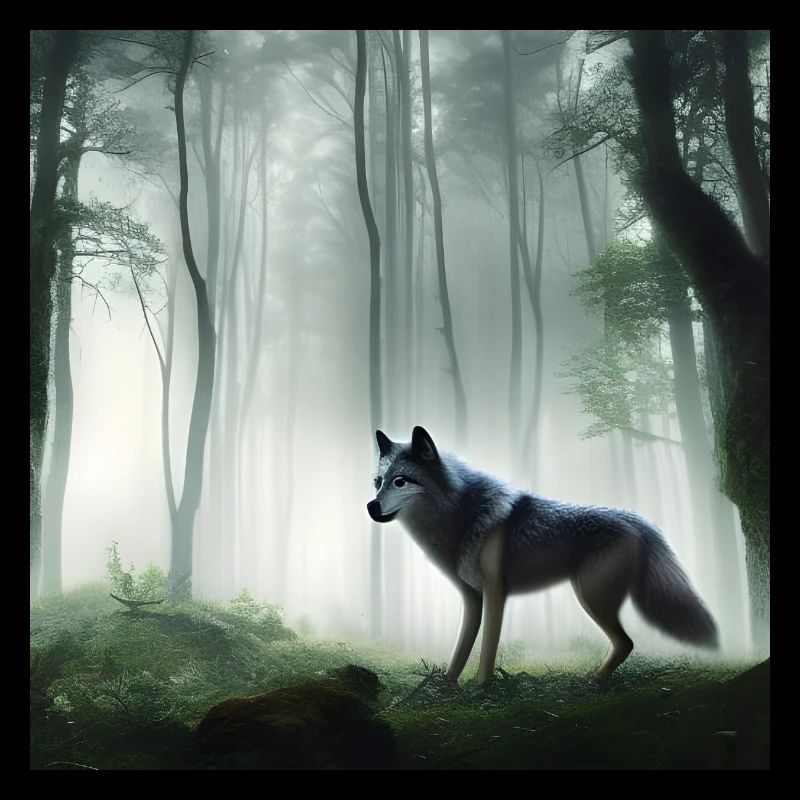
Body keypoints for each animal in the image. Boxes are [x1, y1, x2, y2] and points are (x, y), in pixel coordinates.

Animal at [367, 426, 718, 684]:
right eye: (378, 482)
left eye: (401, 481)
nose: (370, 506)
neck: (461, 514)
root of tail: (639, 520)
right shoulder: (472, 598)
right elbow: (461, 648)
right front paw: (447, 686)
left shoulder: (496, 594)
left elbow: (488, 647)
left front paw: (481, 688)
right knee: (624, 643)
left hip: (590, 596)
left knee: (626, 642)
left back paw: (594, 681)